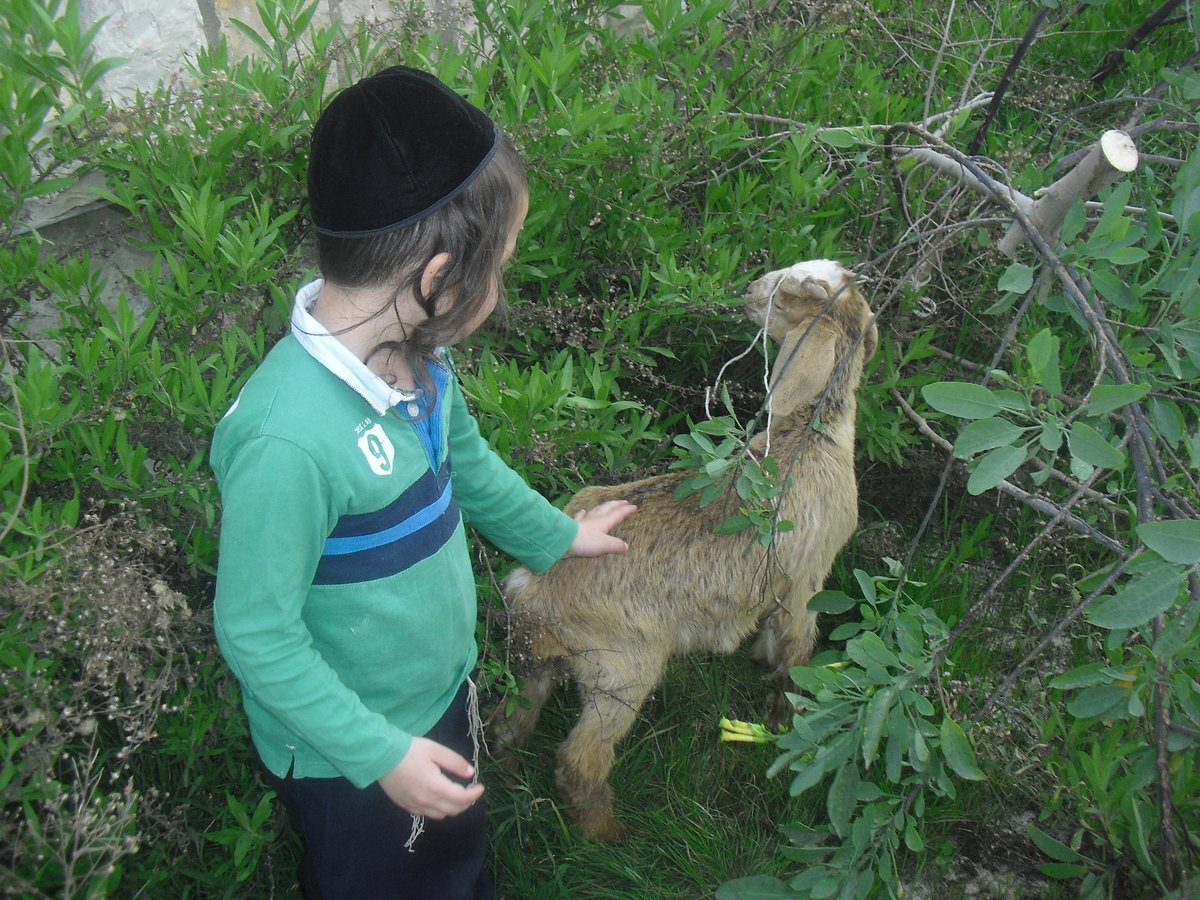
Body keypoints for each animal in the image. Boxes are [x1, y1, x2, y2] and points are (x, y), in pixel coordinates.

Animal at [492, 260, 878, 844]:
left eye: (786, 294)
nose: (747, 292)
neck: (810, 433)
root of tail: (534, 588)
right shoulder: (805, 584)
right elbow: (795, 653)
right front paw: (783, 719)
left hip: (533, 663)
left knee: (508, 724)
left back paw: (507, 781)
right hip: (622, 669)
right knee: (580, 760)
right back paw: (609, 835)